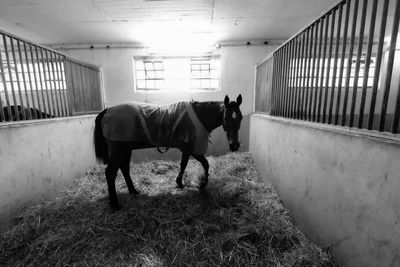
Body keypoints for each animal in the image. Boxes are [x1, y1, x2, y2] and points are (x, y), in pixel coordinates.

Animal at [94, 95, 244, 210]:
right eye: (226, 118)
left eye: (241, 118)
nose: (234, 145)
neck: (199, 116)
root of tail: (107, 110)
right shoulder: (191, 149)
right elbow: (203, 164)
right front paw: (201, 184)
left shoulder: (187, 149)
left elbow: (185, 165)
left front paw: (181, 183)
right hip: (119, 149)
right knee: (110, 173)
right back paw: (115, 204)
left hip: (126, 149)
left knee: (124, 169)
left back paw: (133, 191)